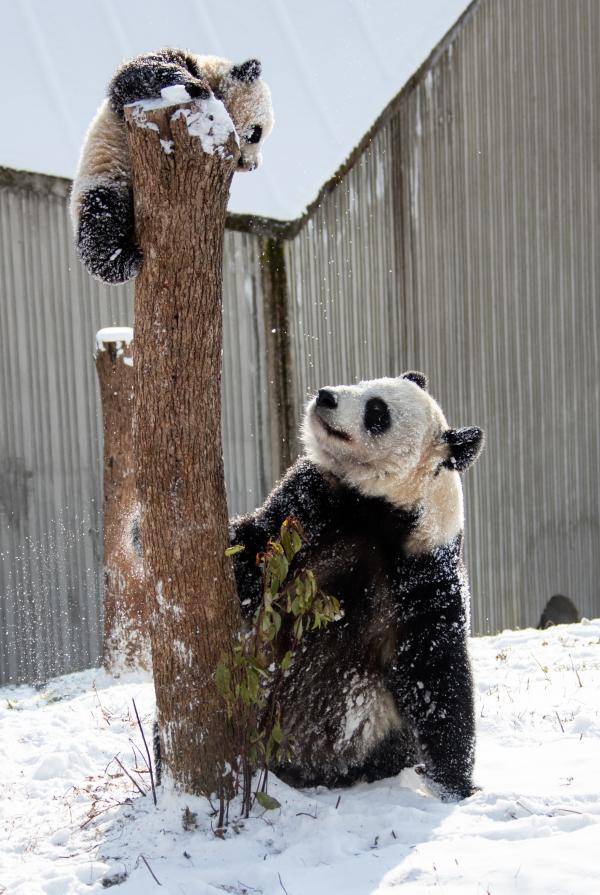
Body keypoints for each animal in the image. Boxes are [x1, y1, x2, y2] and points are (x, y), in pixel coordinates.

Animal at [71, 48, 274, 284]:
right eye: (256, 133)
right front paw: (195, 86)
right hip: (103, 178)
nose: (252, 166)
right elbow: (136, 75)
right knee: (101, 222)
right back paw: (124, 260)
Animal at [232, 372, 486, 800]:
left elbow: (436, 673)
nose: (325, 396)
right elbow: (254, 549)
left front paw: (455, 787)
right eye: (364, 381)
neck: (377, 507)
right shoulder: (310, 503)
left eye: (377, 412)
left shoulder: (422, 569)